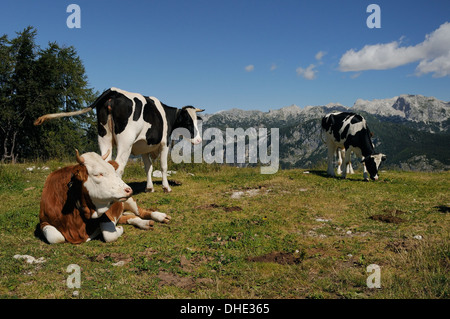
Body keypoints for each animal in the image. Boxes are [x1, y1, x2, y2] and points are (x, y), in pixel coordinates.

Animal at [35, 87, 204, 192]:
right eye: (189, 122)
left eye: (197, 120)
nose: (199, 140)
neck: (166, 114)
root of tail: (113, 91)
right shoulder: (164, 144)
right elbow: (163, 166)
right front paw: (166, 187)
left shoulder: (144, 147)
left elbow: (148, 167)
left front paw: (149, 187)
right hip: (125, 142)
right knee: (119, 167)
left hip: (104, 137)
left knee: (106, 163)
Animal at [39, 150, 171, 245]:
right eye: (98, 174)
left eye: (113, 170)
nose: (128, 189)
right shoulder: (43, 221)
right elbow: (56, 238)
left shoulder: (106, 215)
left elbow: (109, 235)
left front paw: (119, 229)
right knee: (132, 217)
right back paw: (145, 224)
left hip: (130, 201)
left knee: (142, 212)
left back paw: (160, 217)